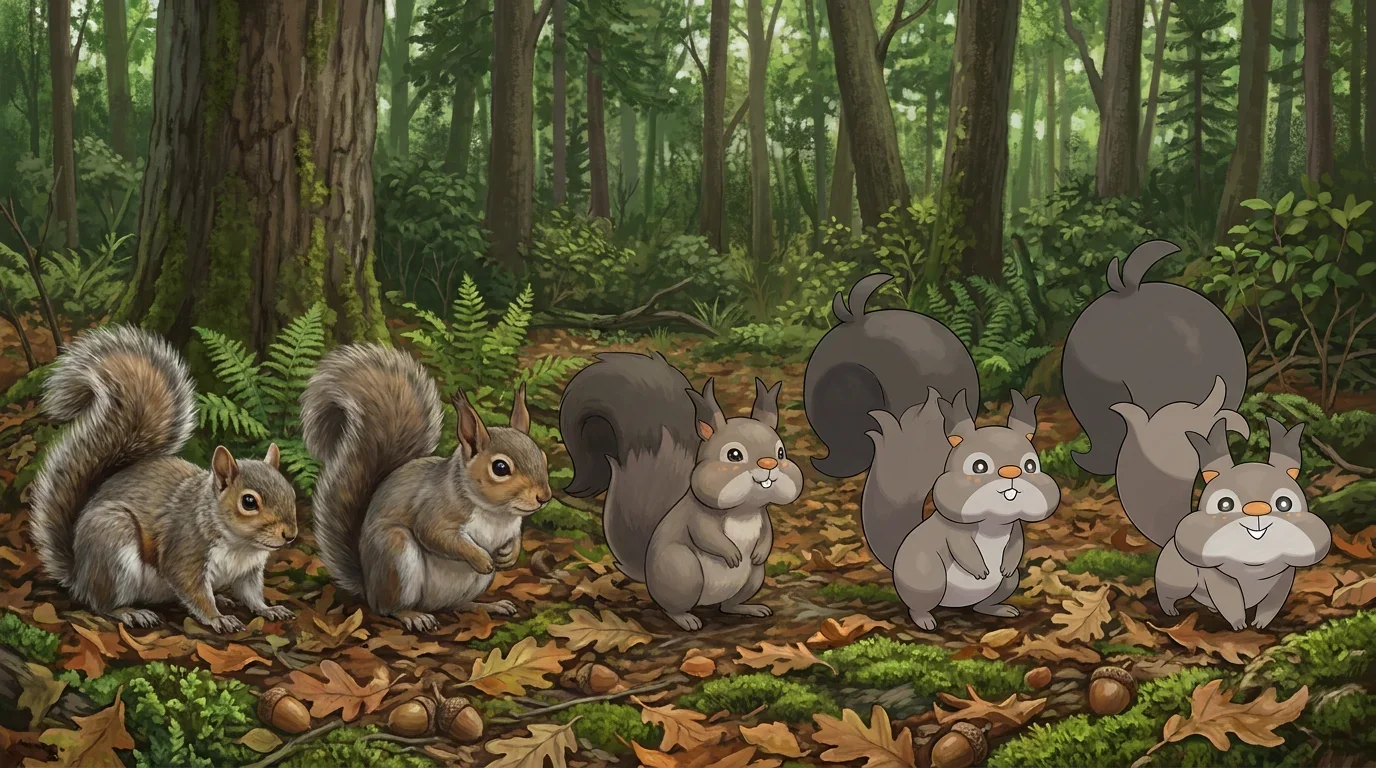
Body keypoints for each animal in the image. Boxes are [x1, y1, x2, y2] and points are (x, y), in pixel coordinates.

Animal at [28, 325, 298, 633]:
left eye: (291, 493)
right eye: (249, 502)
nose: (291, 535)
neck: (241, 546)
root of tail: (78, 574)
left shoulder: (249, 571)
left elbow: (251, 594)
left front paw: (268, 609)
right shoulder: (185, 552)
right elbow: (193, 590)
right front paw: (218, 618)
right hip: (113, 544)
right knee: (100, 604)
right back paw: (130, 612)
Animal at [300, 344, 552, 634]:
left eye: (543, 456)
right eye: (500, 468)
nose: (544, 497)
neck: (496, 513)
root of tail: (368, 585)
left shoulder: (512, 526)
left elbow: (515, 538)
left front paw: (510, 555)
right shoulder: (434, 509)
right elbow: (435, 535)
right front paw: (480, 558)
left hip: (470, 585)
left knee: (458, 605)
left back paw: (489, 605)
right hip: (396, 553)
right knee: (388, 608)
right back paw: (413, 615)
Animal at [558, 352, 803, 631]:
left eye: (781, 452)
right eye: (734, 454)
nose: (769, 464)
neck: (742, 511)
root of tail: (647, 576)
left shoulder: (762, 516)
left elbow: (767, 534)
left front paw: (761, 551)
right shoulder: (696, 516)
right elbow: (705, 535)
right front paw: (731, 553)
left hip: (752, 577)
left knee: (728, 605)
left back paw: (748, 608)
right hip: (682, 570)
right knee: (670, 607)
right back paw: (686, 619)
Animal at [803, 273, 1061, 630]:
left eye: (1031, 465)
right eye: (978, 466)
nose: (1011, 474)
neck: (993, 519)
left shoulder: (1015, 528)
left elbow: (1017, 543)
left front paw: (1006, 561)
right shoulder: (951, 533)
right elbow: (960, 546)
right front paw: (978, 567)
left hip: (1004, 585)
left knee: (985, 602)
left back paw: (997, 608)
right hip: (928, 577)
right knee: (918, 604)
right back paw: (925, 619)